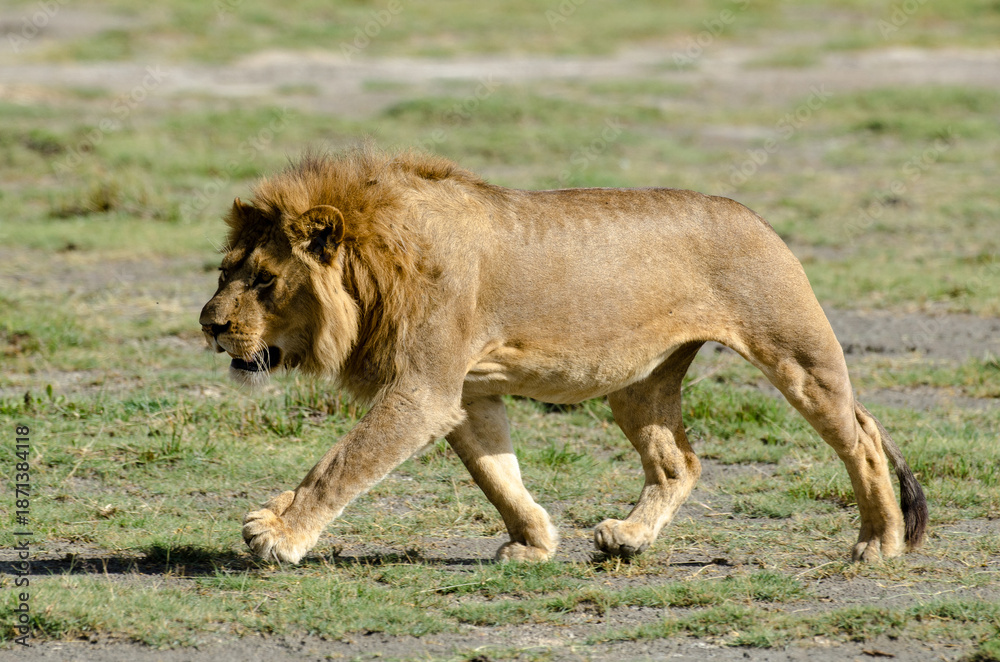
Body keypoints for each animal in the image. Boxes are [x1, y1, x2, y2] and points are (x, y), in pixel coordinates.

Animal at [199, 147, 927, 564]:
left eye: (263, 281)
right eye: (225, 271)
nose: (209, 326)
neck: (378, 261)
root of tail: (755, 216)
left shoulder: (422, 390)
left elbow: (341, 463)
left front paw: (277, 534)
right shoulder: (465, 393)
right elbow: (497, 473)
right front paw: (534, 543)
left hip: (797, 355)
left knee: (862, 438)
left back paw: (879, 544)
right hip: (638, 383)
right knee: (679, 463)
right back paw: (628, 538)